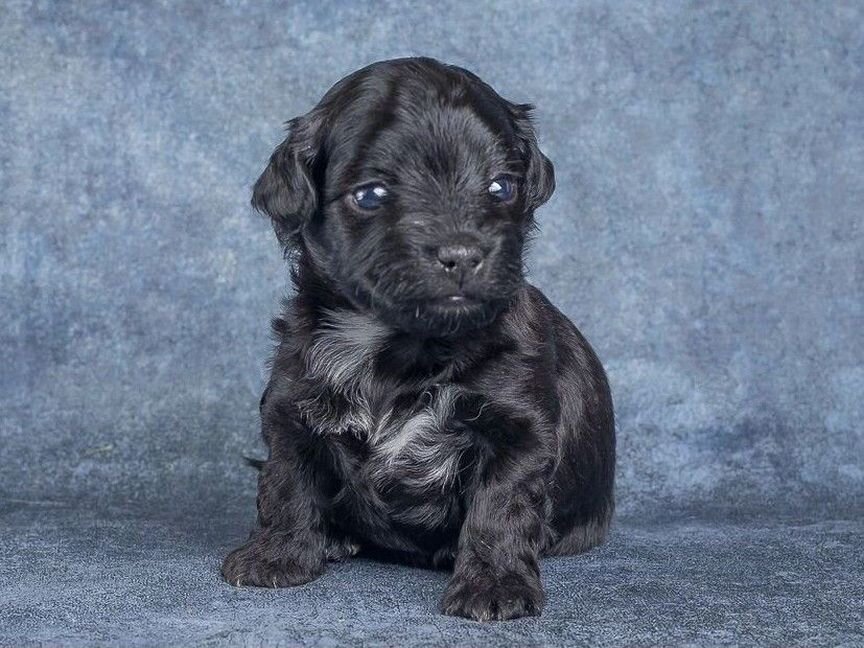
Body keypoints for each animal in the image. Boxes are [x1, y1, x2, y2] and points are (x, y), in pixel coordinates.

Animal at [223, 58, 616, 620]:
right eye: (371, 194)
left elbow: (501, 506)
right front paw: (275, 555)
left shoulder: (519, 429)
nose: (462, 253)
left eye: (501, 187)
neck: (399, 344)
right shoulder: (290, 406)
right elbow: (286, 482)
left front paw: (494, 585)